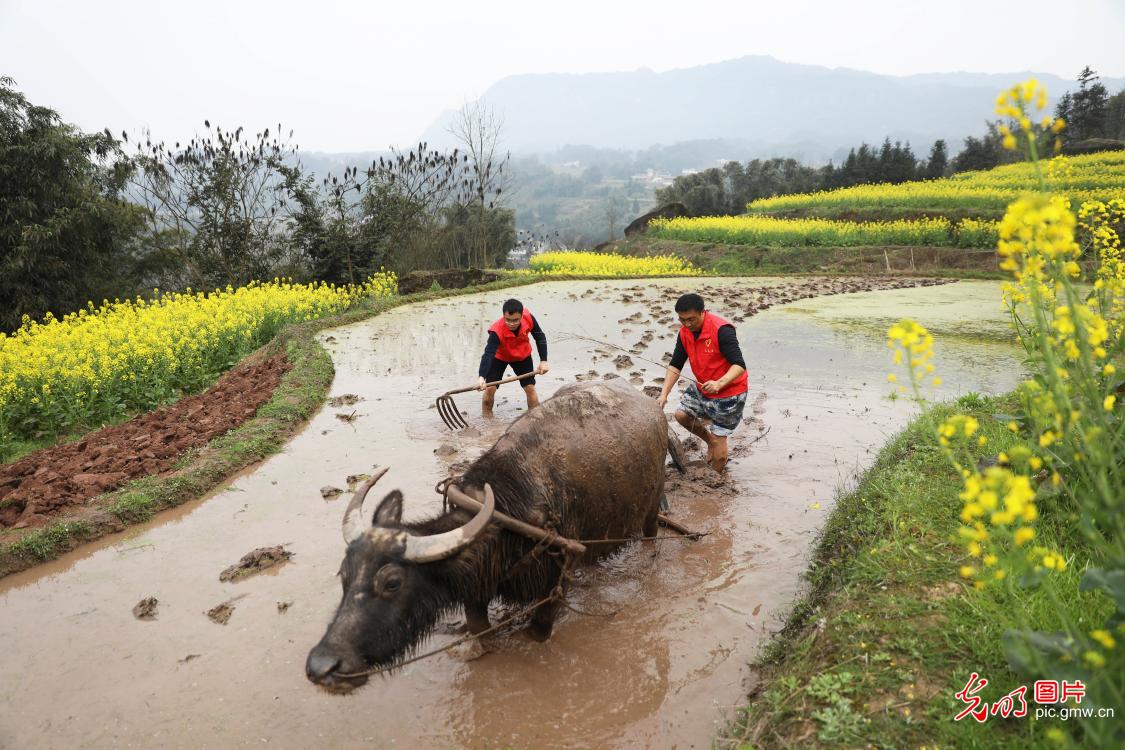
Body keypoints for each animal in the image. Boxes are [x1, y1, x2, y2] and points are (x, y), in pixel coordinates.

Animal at [303, 382, 679, 692]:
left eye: (392, 582)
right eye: (345, 575)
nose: (322, 666)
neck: (508, 516)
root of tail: (655, 410)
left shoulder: (552, 585)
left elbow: (538, 631)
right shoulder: (477, 585)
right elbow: (480, 630)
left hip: (650, 509)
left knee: (650, 536)